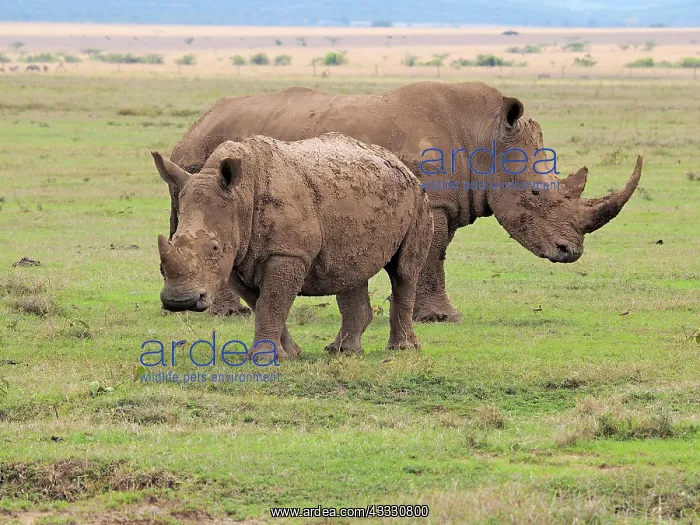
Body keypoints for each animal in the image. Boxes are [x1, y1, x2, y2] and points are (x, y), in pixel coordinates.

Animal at [153, 133, 433, 359]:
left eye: (214, 247)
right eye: (172, 241)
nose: (179, 302)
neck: (240, 198)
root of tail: (400, 164)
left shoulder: (287, 253)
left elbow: (271, 303)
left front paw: (264, 358)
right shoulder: (237, 257)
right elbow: (261, 304)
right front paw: (290, 353)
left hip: (418, 197)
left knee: (404, 272)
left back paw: (402, 350)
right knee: (350, 271)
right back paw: (342, 351)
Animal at [166, 81, 643, 322]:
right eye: (534, 195)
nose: (571, 252)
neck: (486, 135)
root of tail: (196, 123)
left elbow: (434, 255)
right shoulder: (432, 201)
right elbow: (434, 255)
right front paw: (441, 318)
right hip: (206, 157)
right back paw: (226, 315)